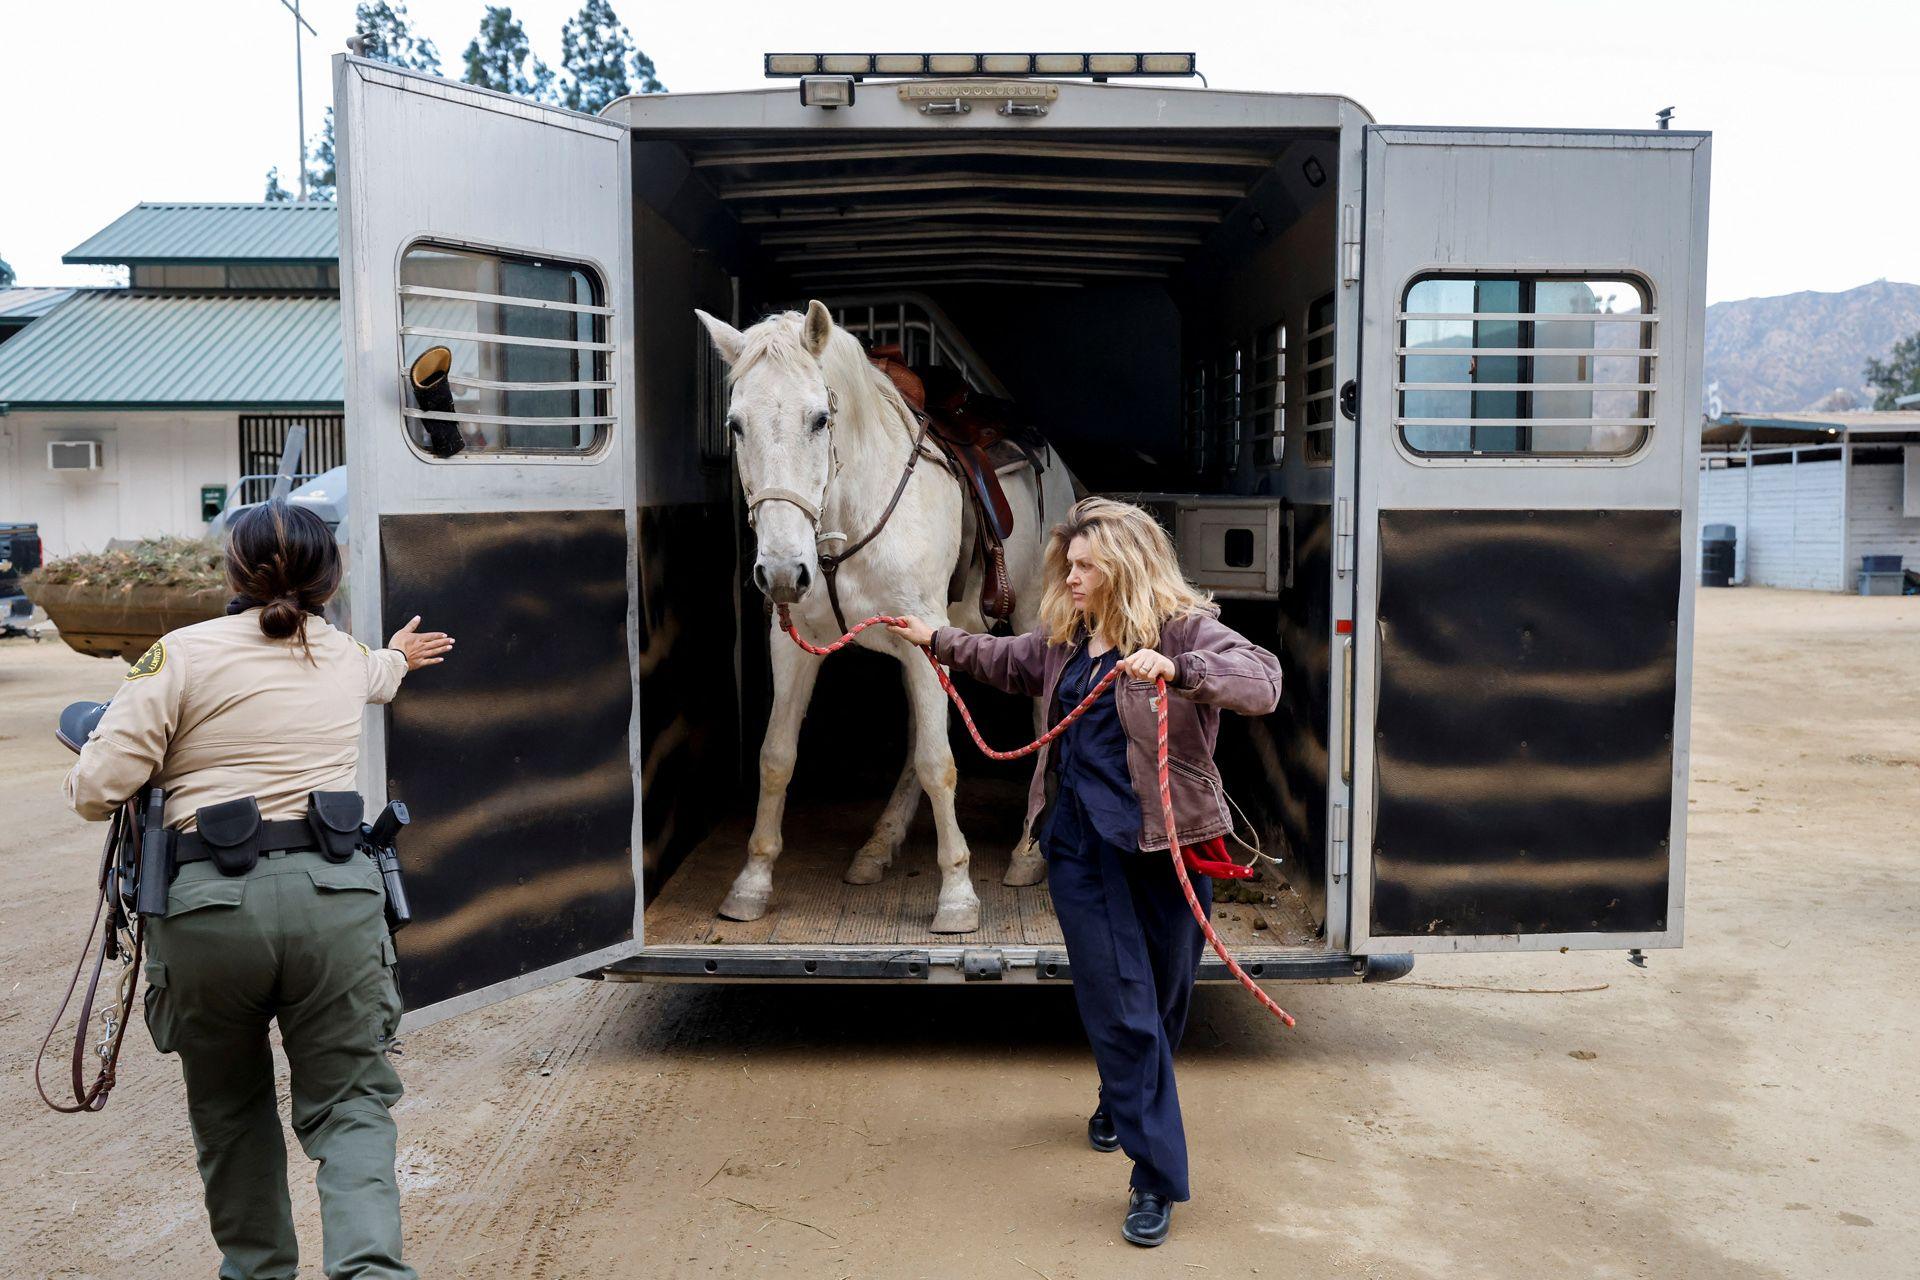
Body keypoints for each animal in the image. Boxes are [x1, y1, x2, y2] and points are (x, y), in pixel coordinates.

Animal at [695, 305, 1082, 936]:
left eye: (820, 418)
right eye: (735, 425)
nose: (781, 572)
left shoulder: (928, 641)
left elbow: (939, 763)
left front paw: (957, 895)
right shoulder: (796, 645)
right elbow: (777, 756)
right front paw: (751, 883)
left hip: (1031, 620)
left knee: (1040, 718)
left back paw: (1027, 852)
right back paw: (879, 844)